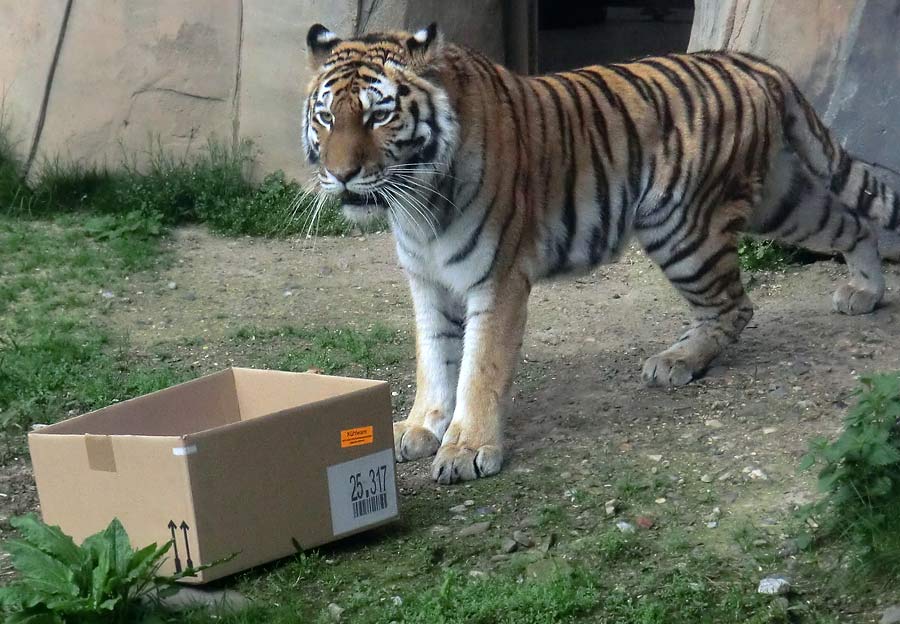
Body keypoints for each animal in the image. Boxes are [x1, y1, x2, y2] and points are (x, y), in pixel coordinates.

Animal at [300, 23, 900, 482]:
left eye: (379, 116)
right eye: (327, 116)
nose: (341, 174)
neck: (417, 204)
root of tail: (751, 62)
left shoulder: (496, 278)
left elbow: (479, 367)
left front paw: (468, 450)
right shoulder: (427, 281)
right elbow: (434, 359)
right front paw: (421, 427)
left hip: (683, 227)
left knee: (733, 305)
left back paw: (677, 361)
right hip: (779, 199)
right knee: (850, 223)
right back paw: (865, 291)